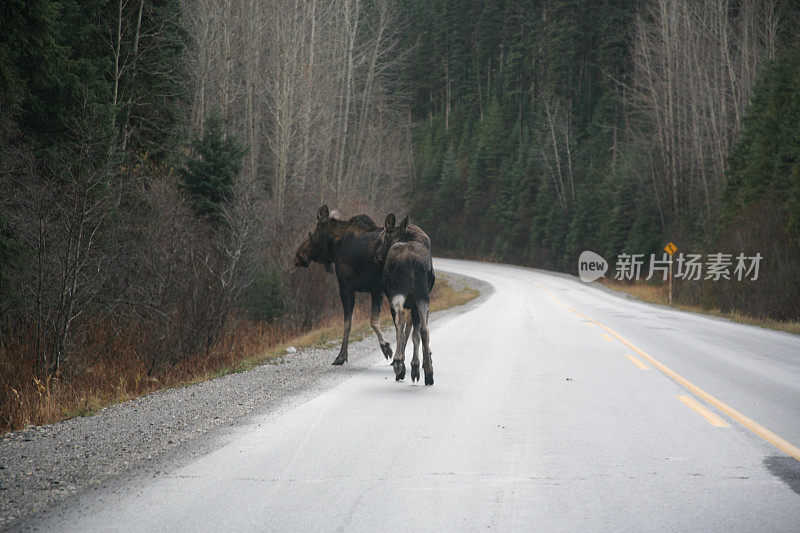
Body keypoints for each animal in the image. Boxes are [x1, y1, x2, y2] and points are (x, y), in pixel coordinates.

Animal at [294, 206, 394, 364]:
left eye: (310, 233)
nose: (298, 256)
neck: (335, 247)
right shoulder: (375, 290)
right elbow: (372, 320)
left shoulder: (348, 287)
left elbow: (349, 323)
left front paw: (341, 356)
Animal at [378, 214, 434, 384]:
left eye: (382, 237)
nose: (378, 256)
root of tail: (410, 260)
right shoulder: (415, 303)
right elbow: (415, 332)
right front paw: (418, 365)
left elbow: (406, 330)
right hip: (421, 296)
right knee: (423, 329)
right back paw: (426, 372)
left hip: (400, 293)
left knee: (401, 320)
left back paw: (399, 363)